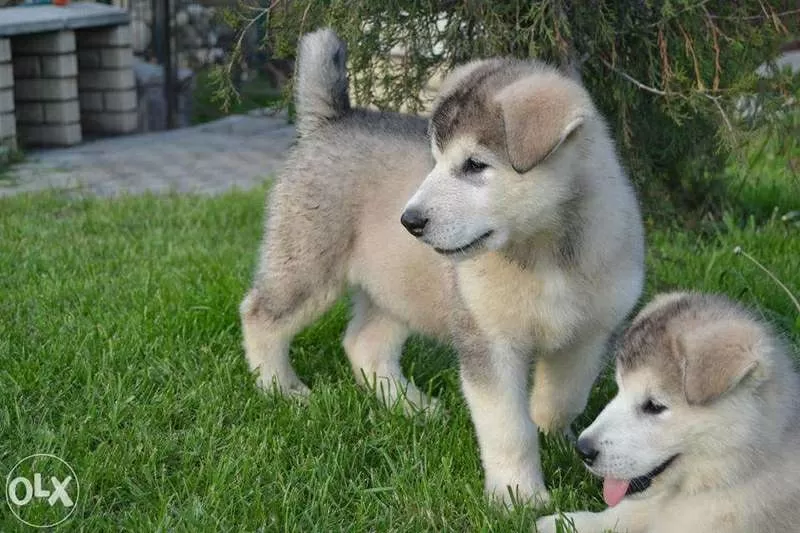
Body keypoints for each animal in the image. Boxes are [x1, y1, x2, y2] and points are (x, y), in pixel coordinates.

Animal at [241, 29, 648, 502]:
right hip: (307, 263)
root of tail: (332, 118)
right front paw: (519, 496)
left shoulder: (588, 335)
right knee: (260, 314)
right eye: (434, 160)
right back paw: (281, 388)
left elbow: (563, 399)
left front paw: (556, 437)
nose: (409, 221)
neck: (543, 251)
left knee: (364, 345)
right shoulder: (488, 342)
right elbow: (508, 428)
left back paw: (411, 406)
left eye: (474, 165)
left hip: (395, 289)